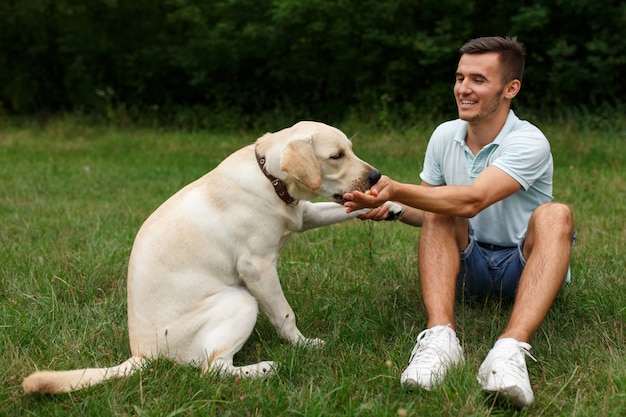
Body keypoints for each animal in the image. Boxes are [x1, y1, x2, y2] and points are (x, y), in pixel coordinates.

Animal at [22, 121, 402, 394]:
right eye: (336, 156)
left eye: (350, 149)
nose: (376, 176)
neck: (270, 178)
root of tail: (142, 356)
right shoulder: (258, 268)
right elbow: (284, 315)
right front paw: (304, 346)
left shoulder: (304, 214)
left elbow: (338, 210)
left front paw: (390, 205)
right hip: (241, 300)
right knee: (212, 369)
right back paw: (264, 369)